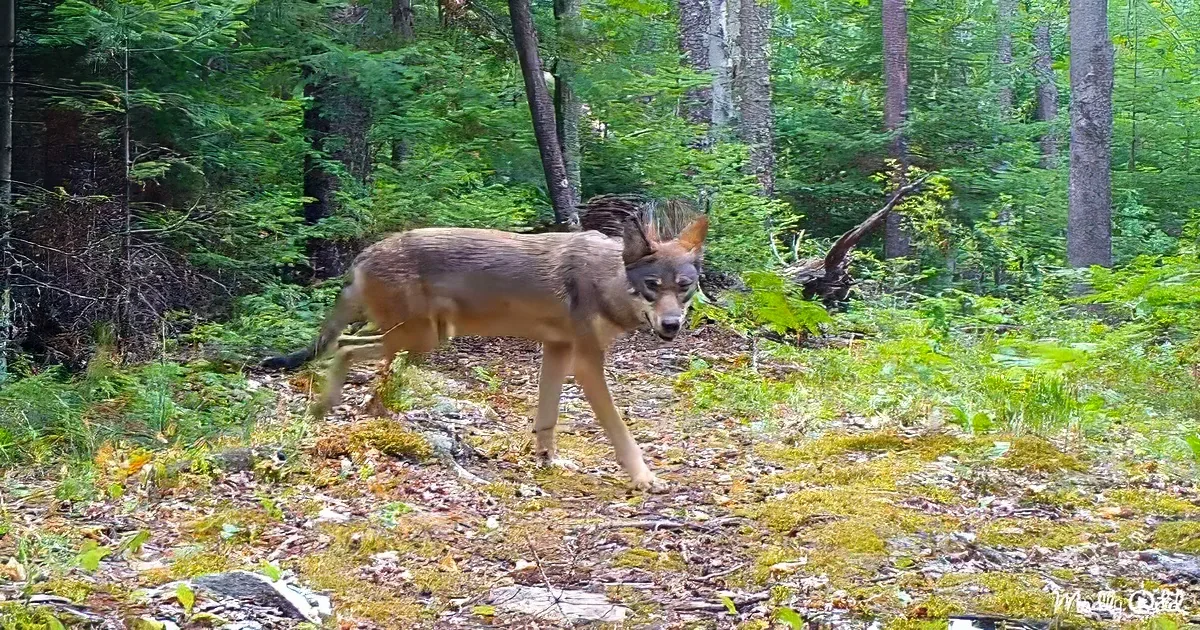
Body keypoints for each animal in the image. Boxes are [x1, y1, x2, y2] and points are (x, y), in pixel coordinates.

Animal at [262, 196, 708, 492]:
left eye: (685, 287)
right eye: (652, 286)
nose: (672, 325)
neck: (606, 281)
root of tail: (364, 254)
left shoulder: (558, 350)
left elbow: (546, 419)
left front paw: (547, 461)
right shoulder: (586, 360)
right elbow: (618, 428)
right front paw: (644, 478)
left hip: (416, 339)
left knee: (346, 346)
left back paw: (362, 411)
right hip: (419, 338)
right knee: (345, 348)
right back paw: (328, 407)